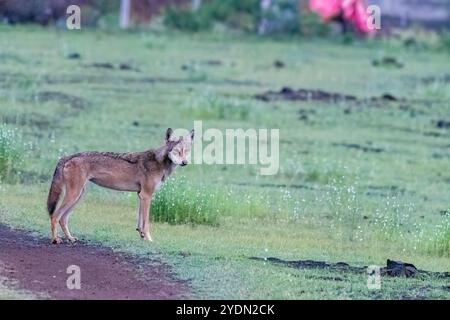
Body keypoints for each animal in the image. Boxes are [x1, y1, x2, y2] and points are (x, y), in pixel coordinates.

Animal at [46, 129, 193, 244]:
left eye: (186, 151)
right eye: (177, 151)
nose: (185, 162)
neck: (159, 162)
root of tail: (68, 156)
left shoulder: (140, 195)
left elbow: (140, 222)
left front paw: (142, 236)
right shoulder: (146, 196)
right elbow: (146, 223)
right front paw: (149, 239)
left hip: (79, 196)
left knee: (63, 219)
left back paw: (70, 238)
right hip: (74, 195)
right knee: (54, 216)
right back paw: (55, 239)